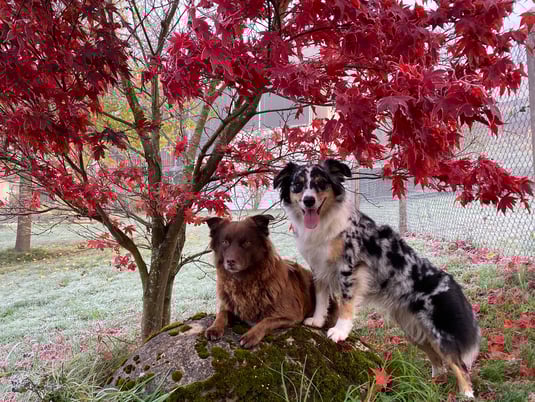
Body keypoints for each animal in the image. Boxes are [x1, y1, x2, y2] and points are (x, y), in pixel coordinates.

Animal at [204, 214, 315, 348]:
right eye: (225, 242)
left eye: (246, 243)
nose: (230, 262)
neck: (245, 280)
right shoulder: (230, 305)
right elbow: (221, 314)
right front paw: (214, 328)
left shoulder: (292, 315)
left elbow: (267, 320)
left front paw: (251, 335)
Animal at [274, 159, 481, 398]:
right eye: (297, 185)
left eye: (320, 183)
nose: (309, 200)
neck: (325, 222)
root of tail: (454, 285)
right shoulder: (319, 268)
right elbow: (321, 298)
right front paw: (317, 321)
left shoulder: (350, 267)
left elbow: (345, 303)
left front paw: (340, 331)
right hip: (415, 331)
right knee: (438, 360)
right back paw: (431, 383)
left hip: (439, 334)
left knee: (460, 365)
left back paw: (466, 394)